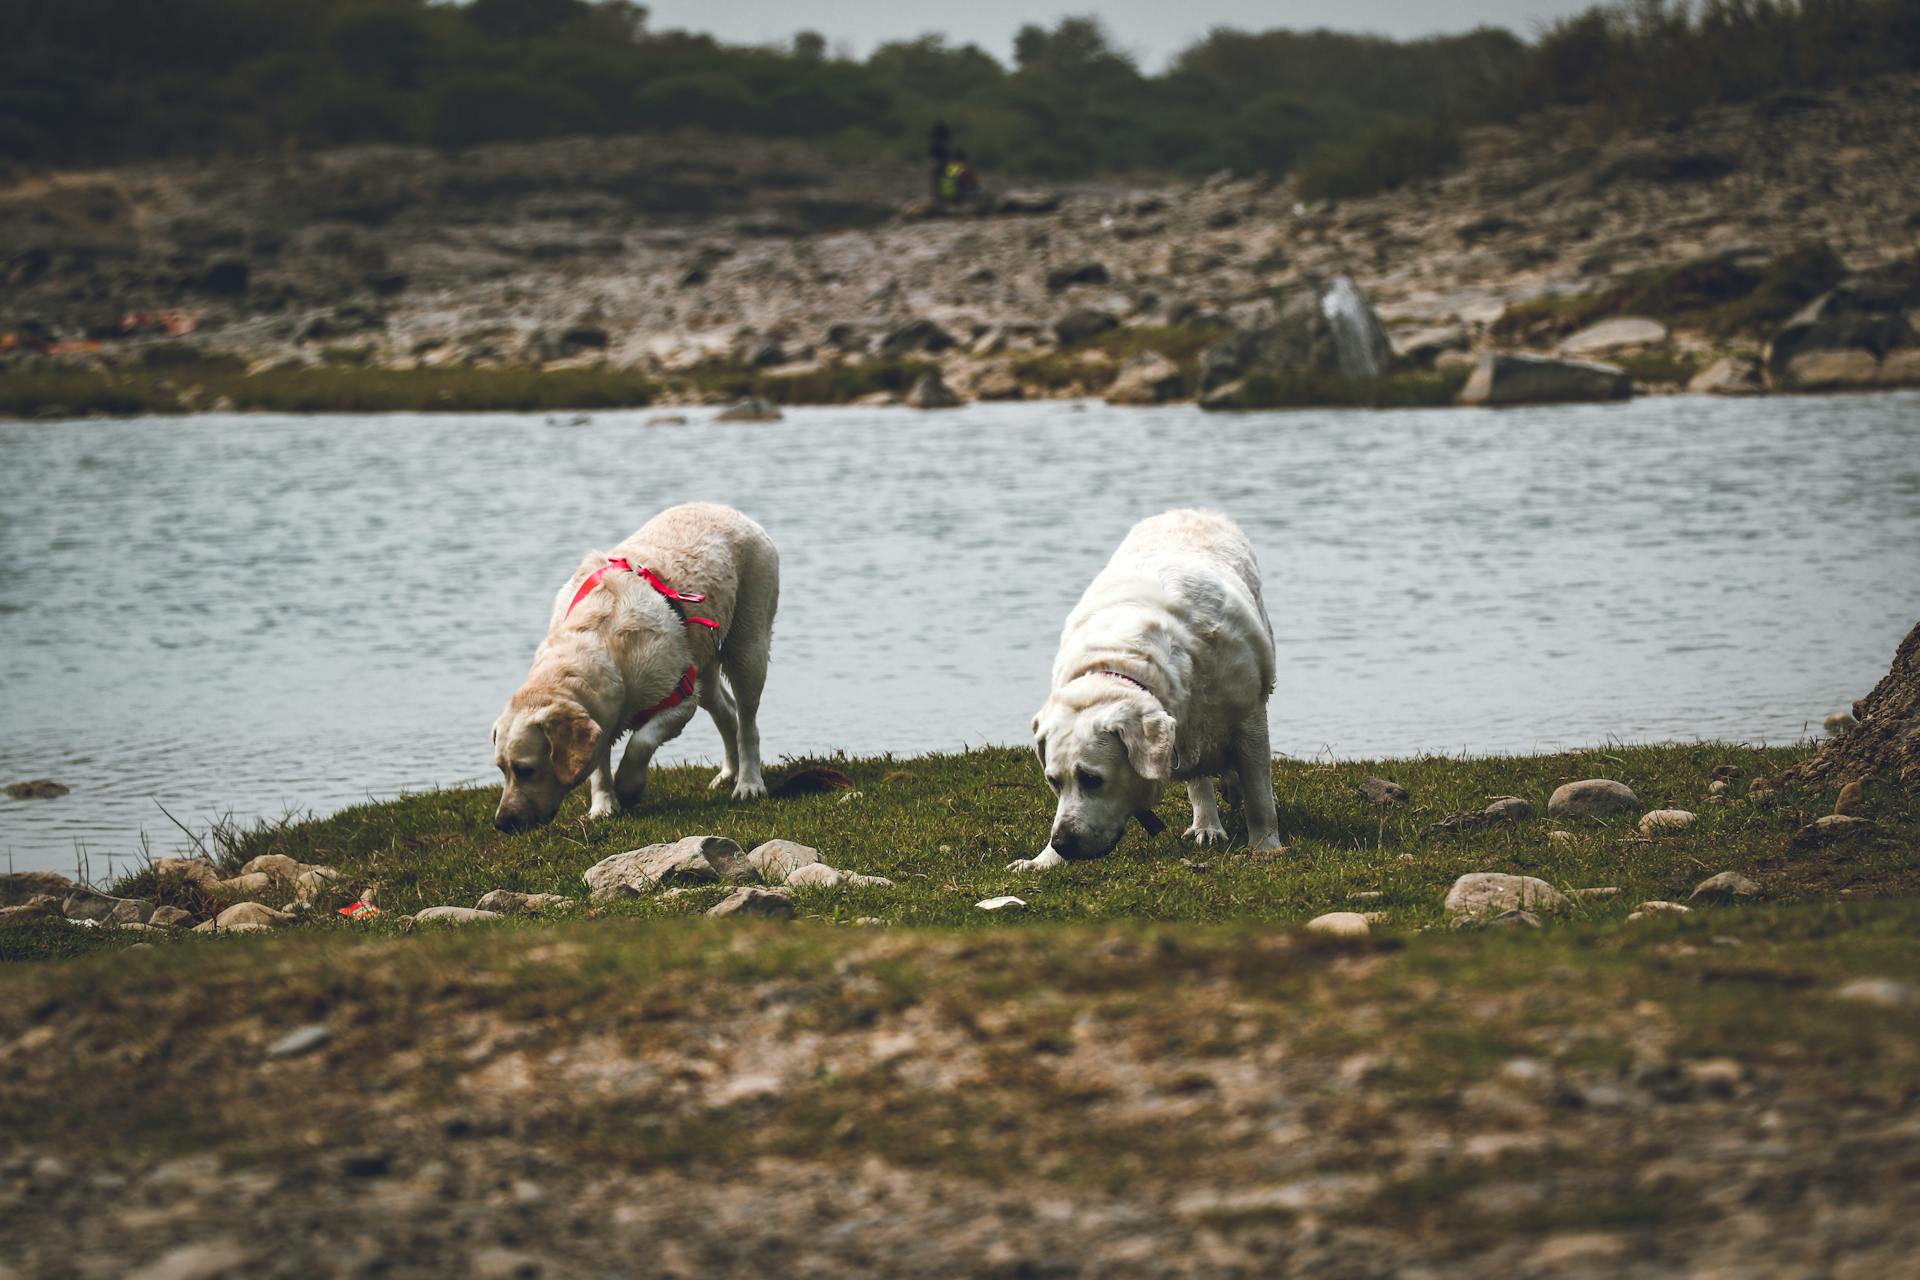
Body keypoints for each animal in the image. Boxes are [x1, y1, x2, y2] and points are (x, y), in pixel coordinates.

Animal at [491, 498, 775, 832]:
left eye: (526, 770)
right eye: (501, 769)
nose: (502, 822)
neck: (603, 643)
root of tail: (728, 509)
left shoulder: (680, 698)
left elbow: (641, 741)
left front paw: (627, 786)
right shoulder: (600, 711)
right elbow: (599, 760)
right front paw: (603, 805)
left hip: (748, 645)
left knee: (748, 722)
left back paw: (748, 783)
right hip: (702, 660)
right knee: (727, 713)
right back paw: (729, 773)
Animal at [1013, 510, 1282, 871]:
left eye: (1092, 779)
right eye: (1053, 781)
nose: (1063, 843)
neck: (1123, 663)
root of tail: (1189, 511)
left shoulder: (1248, 713)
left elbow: (1259, 793)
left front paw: (1266, 846)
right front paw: (1043, 859)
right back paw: (1207, 824)